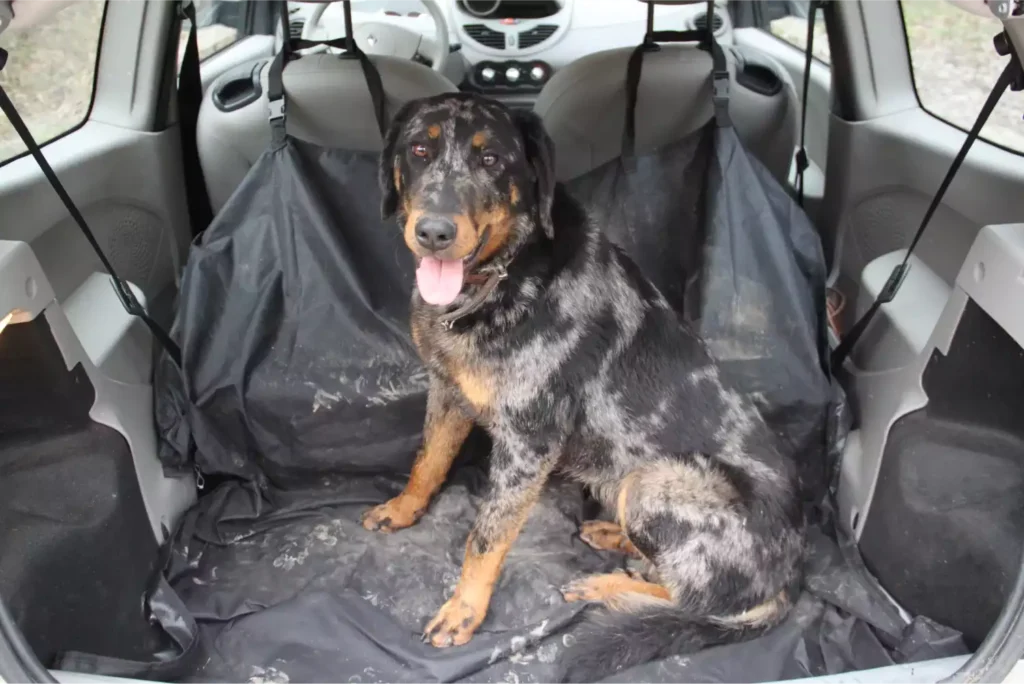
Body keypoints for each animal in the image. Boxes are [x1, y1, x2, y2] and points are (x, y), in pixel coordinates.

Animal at [362, 93, 806, 679]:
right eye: (419, 149)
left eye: (491, 159)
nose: (434, 232)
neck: (502, 280)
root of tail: (793, 578)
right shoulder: (447, 392)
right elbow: (427, 462)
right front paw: (403, 509)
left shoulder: (528, 443)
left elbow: (486, 536)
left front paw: (463, 611)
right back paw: (613, 537)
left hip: (654, 482)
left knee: (693, 599)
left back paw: (606, 585)